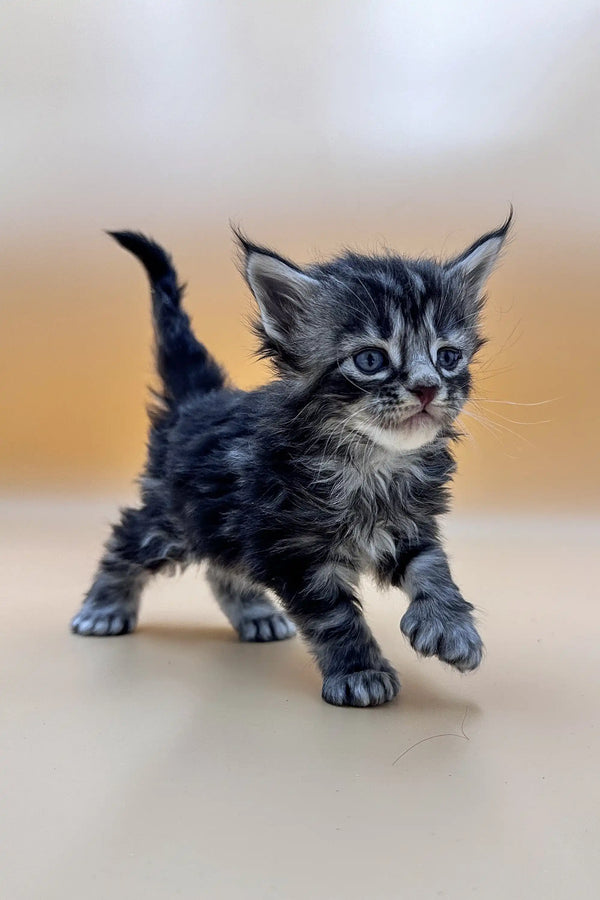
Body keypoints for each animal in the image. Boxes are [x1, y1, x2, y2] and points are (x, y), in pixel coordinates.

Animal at [70, 214, 510, 708]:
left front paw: (451, 626)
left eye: (448, 357)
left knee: (224, 568)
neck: (370, 463)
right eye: (371, 359)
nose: (428, 387)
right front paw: (359, 670)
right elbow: (335, 617)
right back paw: (103, 607)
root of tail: (199, 401)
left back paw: (254, 613)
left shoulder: (411, 524)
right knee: (127, 540)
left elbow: (434, 568)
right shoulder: (293, 552)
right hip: (173, 517)